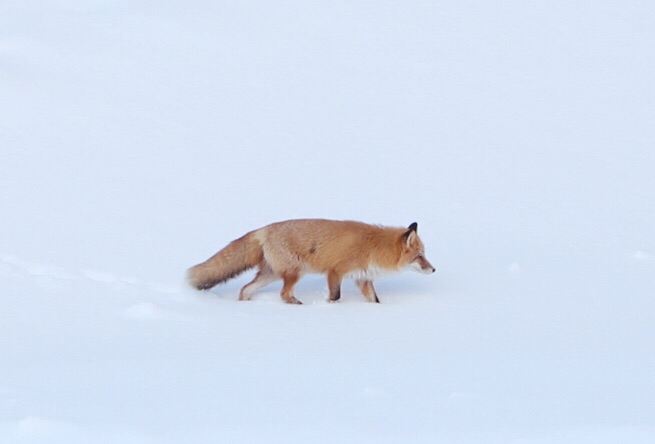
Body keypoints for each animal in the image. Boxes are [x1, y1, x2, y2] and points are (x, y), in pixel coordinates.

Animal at [190, 219, 436, 304]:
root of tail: (264, 229)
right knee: (283, 294)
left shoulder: (362, 279)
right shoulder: (335, 272)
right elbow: (335, 296)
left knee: (245, 289)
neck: (373, 247)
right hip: (294, 272)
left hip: (270, 275)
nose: (433, 269)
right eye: (420, 256)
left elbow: (375, 301)